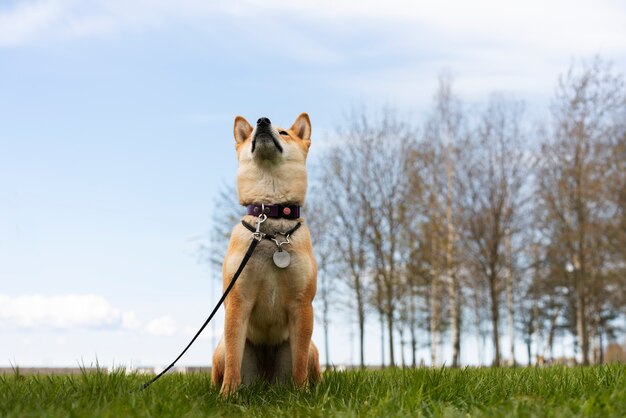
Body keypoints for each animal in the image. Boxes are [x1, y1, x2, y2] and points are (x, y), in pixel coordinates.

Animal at [213, 112, 322, 396]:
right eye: (252, 132)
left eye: (284, 132)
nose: (262, 121)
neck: (271, 224)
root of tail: (267, 380)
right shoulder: (238, 299)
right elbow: (233, 358)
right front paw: (228, 394)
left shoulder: (302, 304)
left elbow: (299, 361)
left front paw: (302, 392)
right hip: (221, 350)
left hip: (312, 349)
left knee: (309, 362)